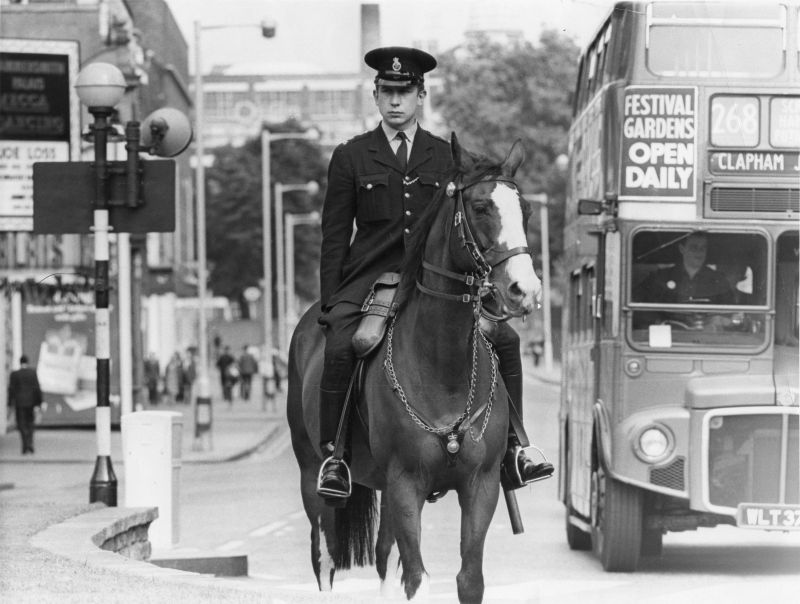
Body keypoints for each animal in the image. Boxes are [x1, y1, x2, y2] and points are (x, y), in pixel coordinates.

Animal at [284, 134, 540, 600]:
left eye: (526, 210)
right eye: (480, 207)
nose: (524, 290)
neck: (444, 365)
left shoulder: (480, 484)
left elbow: (467, 579)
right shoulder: (405, 483)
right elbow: (418, 579)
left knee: (385, 557)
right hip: (313, 474)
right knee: (324, 555)